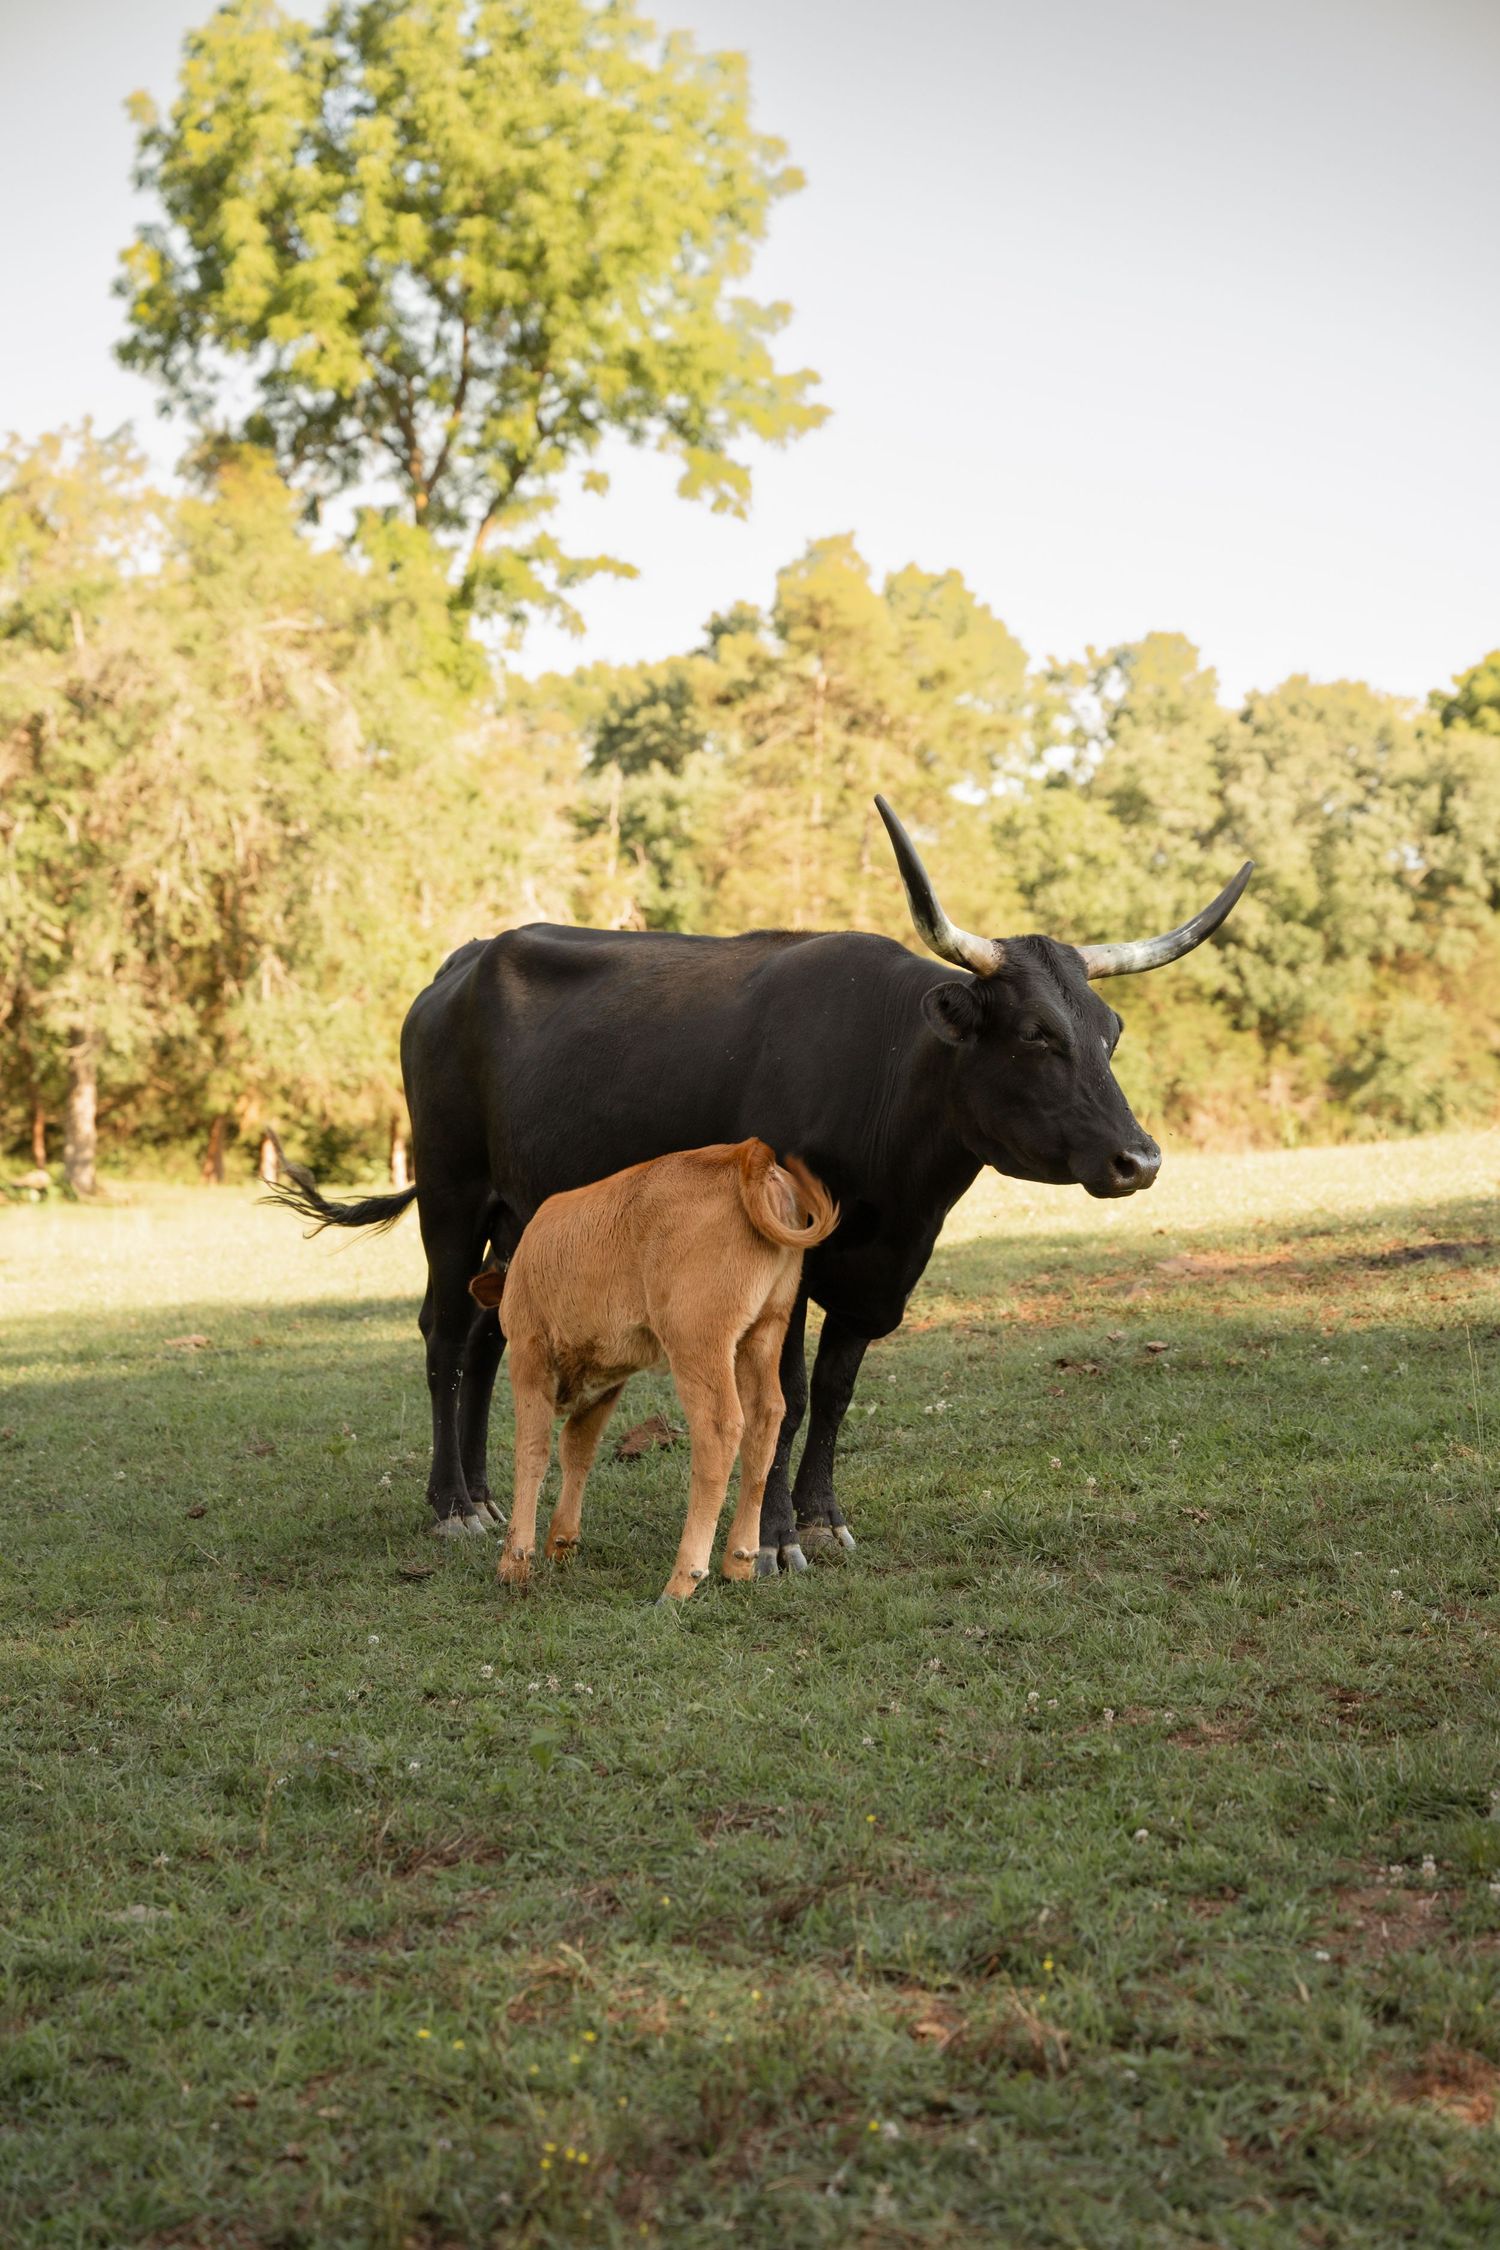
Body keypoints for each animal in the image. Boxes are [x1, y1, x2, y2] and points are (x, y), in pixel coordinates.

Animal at [467, 1139, 837, 1601]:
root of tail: (743, 1154)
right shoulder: (608, 1380)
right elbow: (577, 1448)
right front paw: (561, 1540)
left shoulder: (528, 1354)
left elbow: (532, 1451)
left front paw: (515, 1560)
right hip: (763, 1334)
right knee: (765, 1419)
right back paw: (739, 1562)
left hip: (696, 1341)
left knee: (719, 1429)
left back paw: (682, 1580)